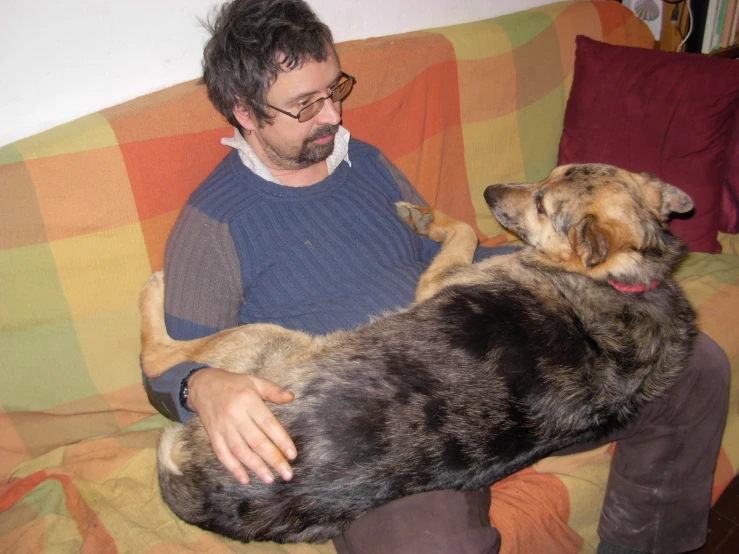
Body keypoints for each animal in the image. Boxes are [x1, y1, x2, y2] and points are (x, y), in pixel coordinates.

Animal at [140, 162, 700, 540]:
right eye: (547, 175)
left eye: (543, 203)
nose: (489, 190)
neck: (629, 279)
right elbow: (466, 229)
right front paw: (425, 214)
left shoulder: (437, 280)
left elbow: (466, 231)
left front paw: (428, 220)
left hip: (264, 339)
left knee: (157, 356)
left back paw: (155, 291)